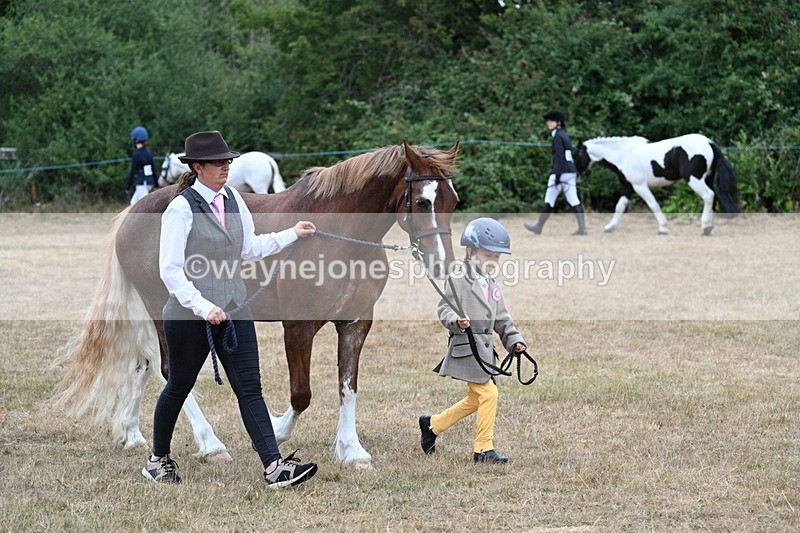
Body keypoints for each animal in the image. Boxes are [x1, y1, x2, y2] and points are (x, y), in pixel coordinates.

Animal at [574, 134, 740, 235]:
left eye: (576, 156)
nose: (575, 177)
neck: (623, 154)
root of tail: (710, 142)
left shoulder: (640, 186)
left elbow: (653, 205)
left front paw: (663, 228)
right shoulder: (629, 186)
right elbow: (620, 206)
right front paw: (610, 227)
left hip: (695, 180)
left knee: (708, 196)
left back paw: (705, 227)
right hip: (707, 179)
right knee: (713, 198)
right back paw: (709, 228)